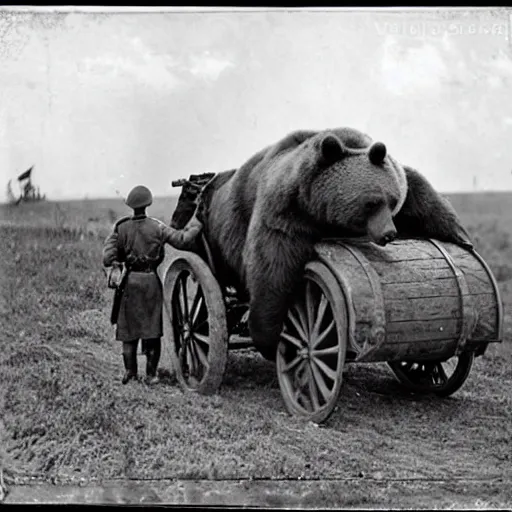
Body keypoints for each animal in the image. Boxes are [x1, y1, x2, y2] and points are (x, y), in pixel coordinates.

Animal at [195, 127, 472, 360]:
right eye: (370, 203)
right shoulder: (285, 213)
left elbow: (420, 191)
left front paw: (462, 237)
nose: (389, 233)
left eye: (392, 201)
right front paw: (269, 337)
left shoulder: (397, 177)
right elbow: (273, 270)